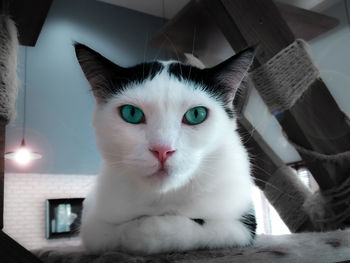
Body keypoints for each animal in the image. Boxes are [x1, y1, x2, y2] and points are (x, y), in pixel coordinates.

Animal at [74, 43, 258, 256]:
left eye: (196, 114)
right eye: (131, 113)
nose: (162, 150)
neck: (164, 197)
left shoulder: (243, 224)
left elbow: (204, 227)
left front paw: (146, 231)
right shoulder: (92, 221)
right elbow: (105, 234)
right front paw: (135, 232)